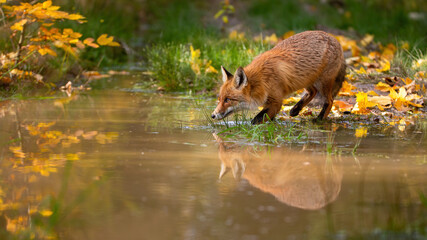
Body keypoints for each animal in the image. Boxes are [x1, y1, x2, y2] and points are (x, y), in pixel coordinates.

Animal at [211, 30, 348, 124]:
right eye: (219, 99)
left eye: (228, 100)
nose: (213, 115)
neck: (261, 80)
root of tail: (335, 39)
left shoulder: (276, 101)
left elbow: (257, 119)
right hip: (306, 79)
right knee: (312, 92)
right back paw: (295, 109)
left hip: (323, 82)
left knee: (330, 101)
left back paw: (319, 119)